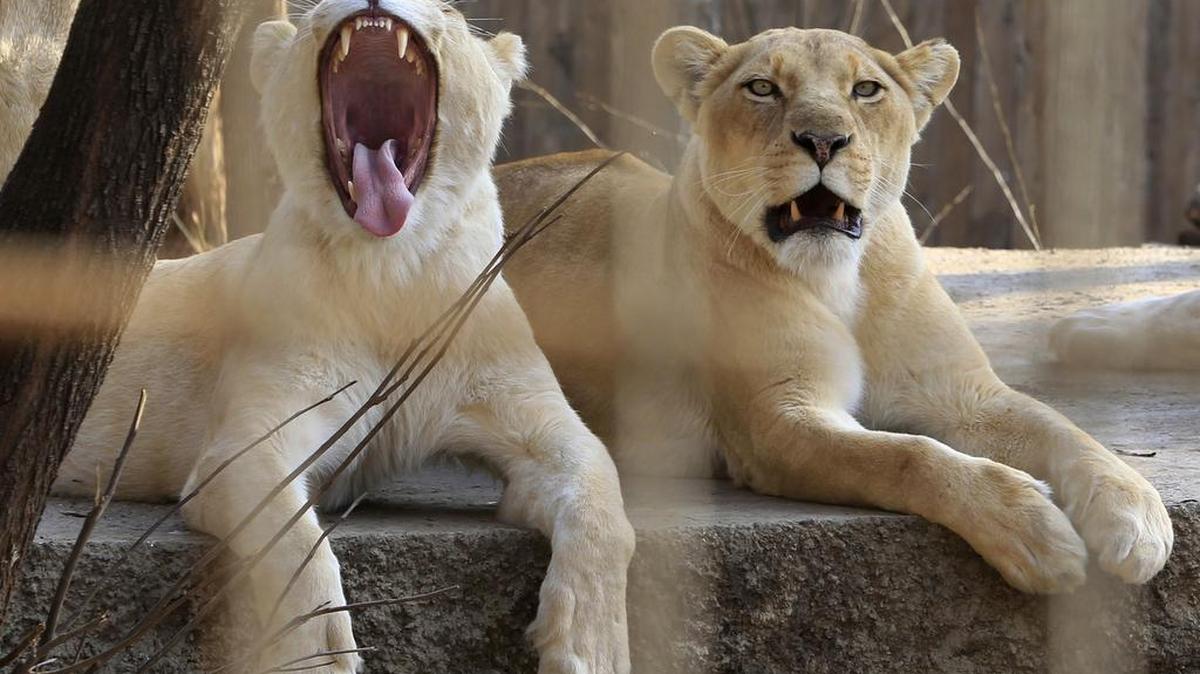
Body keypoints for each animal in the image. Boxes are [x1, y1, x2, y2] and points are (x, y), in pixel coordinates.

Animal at [54, 1, 633, 672]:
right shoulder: (250, 438)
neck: (392, 271)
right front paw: (321, 655)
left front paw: (592, 647)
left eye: (450, 10)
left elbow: (601, 491)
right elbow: (288, 532)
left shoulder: (528, 408)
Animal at [497, 27, 1173, 594]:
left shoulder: (965, 396)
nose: (824, 141)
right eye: (762, 87)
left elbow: (1063, 427)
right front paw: (1034, 528)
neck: (838, 281)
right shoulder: (778, 422)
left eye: (866, 89)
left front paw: (1136, 513)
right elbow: (905, 455)